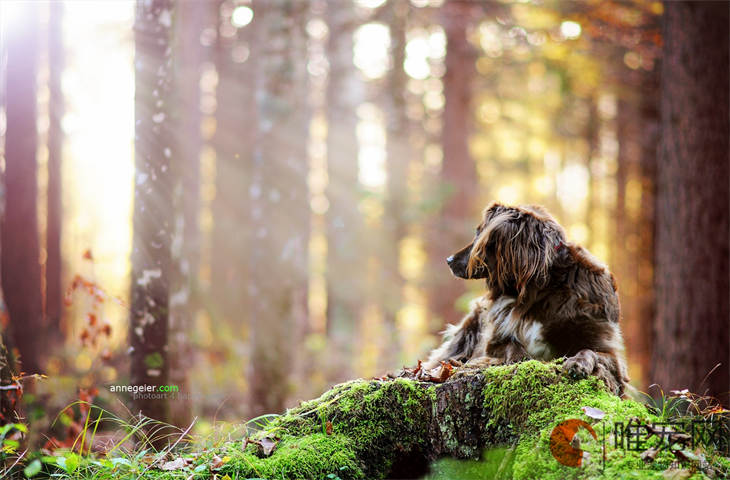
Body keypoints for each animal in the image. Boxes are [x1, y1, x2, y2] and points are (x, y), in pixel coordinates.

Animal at [424, 201, 628, 396]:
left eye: (479, 234)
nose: (449, 260)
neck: (540, 289)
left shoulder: (609, 353)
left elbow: (591, 351)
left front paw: (577, 363)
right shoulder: (494, 341)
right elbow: (512, 346)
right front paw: (518, 359)